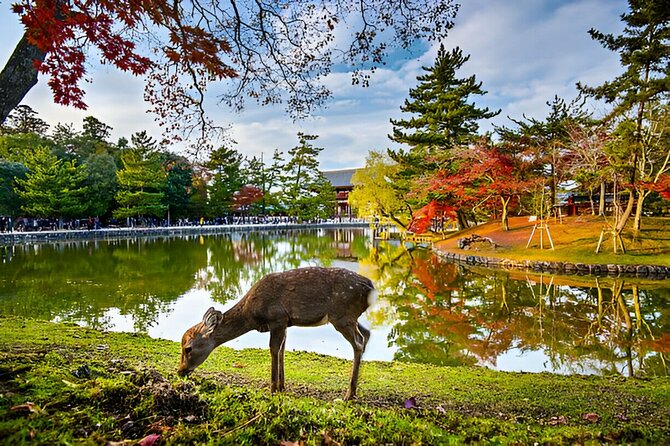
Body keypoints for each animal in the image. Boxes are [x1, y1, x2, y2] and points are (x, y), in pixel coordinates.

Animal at [178, 266, 377, 400]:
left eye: (188, 348)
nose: (180, 371)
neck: (251, 314)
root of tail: (371, 288)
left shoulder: (277, 318)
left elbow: (274, 349)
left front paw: (272, 389)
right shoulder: (285, 323)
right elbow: (282, 349)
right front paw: (281, 387)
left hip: (342, 315)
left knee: (358, 342)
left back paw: (348, 394)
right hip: (349, 317)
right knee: (366, 334)